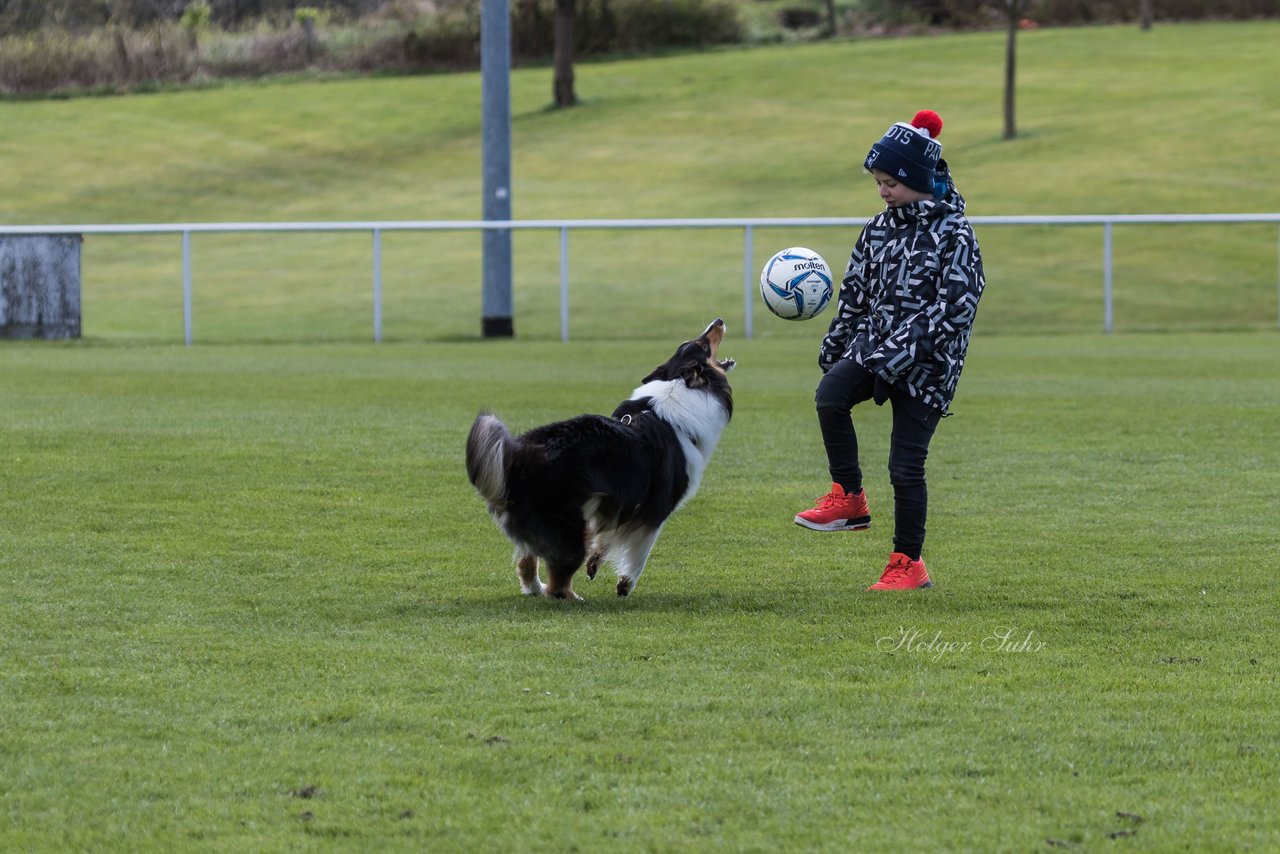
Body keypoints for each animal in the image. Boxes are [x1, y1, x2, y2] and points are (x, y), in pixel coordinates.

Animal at [465, 318, 737, 601]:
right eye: (702, 345)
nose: (718, 321)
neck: (681, 383)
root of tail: (518, 455)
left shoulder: (617, 502)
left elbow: (606, 537)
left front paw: (595, 564)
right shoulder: (655, 508)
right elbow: (640, 553)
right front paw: (625, 584)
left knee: (527, 561)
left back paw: (535, 588)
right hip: (569, 526)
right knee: (558, 582)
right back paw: (571, 597)